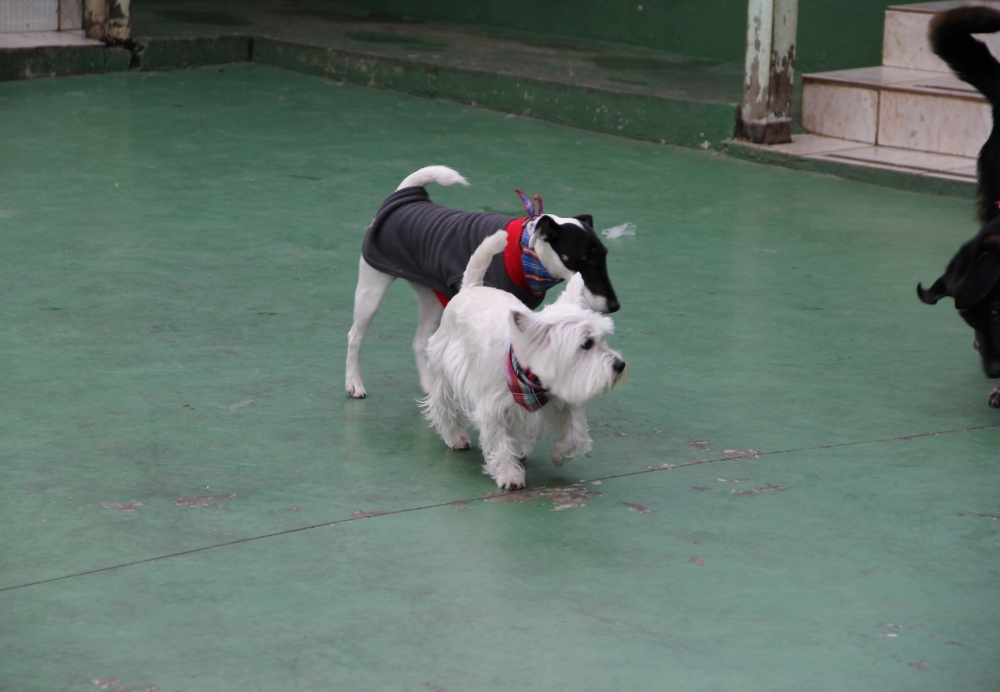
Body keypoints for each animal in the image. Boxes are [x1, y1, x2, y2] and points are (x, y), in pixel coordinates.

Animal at [348, 164, 620, 398]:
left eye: (605, 255)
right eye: (585, 259)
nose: (615, 306)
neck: (527, 252)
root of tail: (407, 196)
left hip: (432, 301)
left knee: (420, 342)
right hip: (371, 290)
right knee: (355, 337)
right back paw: (354, 382)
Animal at [420, 230, 624, 490]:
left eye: (603, 338)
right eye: (586, 343)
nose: (620, 365)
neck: (534, 382)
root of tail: (472, 288)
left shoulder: (562, 402)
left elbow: (576, 434)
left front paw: (559, 455)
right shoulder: (493, 408)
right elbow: (500, 443)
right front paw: (510, 476)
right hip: (444, 373)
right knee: (444, 406)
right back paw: (456, 437)